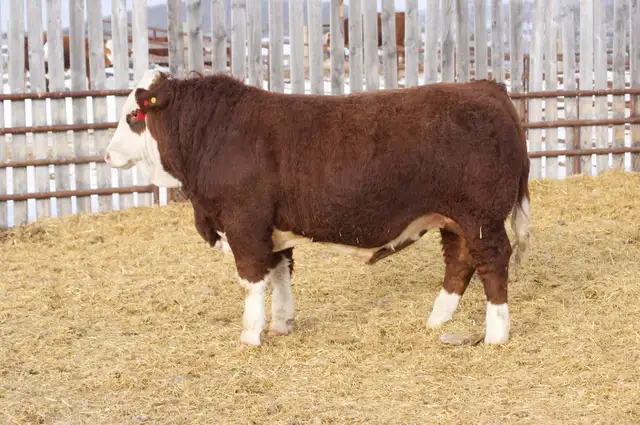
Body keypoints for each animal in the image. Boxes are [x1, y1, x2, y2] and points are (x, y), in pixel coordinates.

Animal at [104, 69, 531, 347]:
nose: (107, 155)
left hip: (480, 216)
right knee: (459, 262)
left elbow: (252, 280)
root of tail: (486, 87)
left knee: (493, 260)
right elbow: (280, 273)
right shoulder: (273, 230)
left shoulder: (245, 225)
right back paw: (437, 319)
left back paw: (496, 333)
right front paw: (281, 324)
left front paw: (250, 335)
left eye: (134, 115)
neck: (213, 135)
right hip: (454, 219)